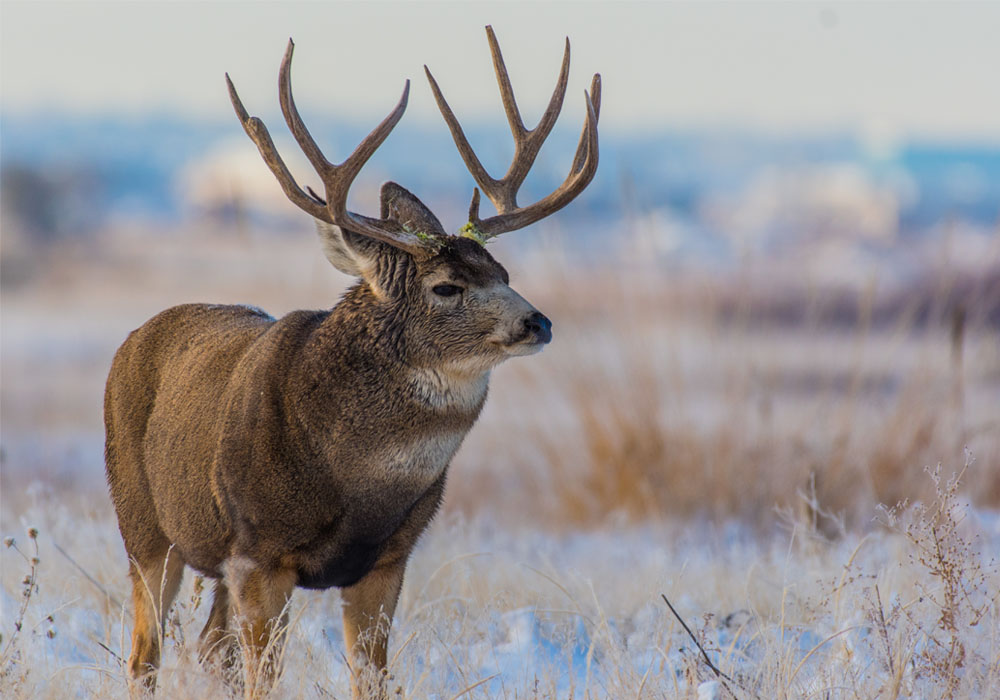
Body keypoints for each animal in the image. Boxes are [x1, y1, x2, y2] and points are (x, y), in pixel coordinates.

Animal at [105, 24, 596, 696]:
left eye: (503, 272)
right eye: (446, 286)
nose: (537, 322)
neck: (353, 475)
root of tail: (135, 335)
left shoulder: (388, 559)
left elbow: (373, 677)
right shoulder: (259, 553)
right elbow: (264, 677)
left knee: (209, 648)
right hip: (144, 527)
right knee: (145, 653)